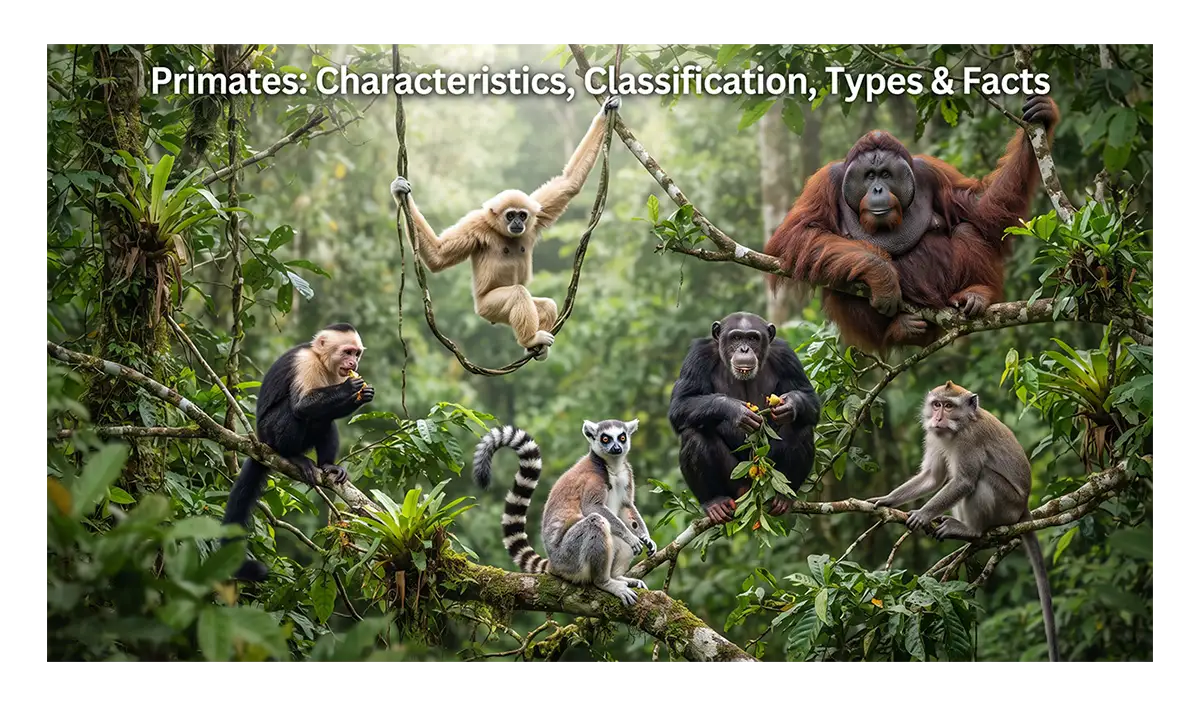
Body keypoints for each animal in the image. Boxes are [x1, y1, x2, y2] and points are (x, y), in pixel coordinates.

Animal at [220, 323, 374, 581]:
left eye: (357, 353)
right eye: (347, 352)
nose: (353, 363)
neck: (321, 361)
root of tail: (259, 441)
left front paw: (363, 394)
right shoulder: (305, 362)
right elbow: (303, 405)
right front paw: (349, 388)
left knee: (325, 420)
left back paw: (327, 466)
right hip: (269, 433)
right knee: (294, 412)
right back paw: (292, 456)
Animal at [389, 96, 621, 361]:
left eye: (522, 215)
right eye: (510, 215)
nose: (518, 223)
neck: (500, 231)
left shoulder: (536, 215)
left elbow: (568, 183)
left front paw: (607, 111)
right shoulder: (476, 226)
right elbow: (438, 256)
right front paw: (399, 192)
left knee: (545, 304)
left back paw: (535, 347)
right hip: (489, 307)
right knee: (518, 293)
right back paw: (531, 339)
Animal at [472, 419, 656, 606]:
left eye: (622, 437)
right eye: (605, 439)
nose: (617, 448)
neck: (612, 467)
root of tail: (554, 564)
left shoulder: (627, 474)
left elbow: (627, 506)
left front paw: (645, 537)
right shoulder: (593, 479)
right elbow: (593, 507)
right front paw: (631, 537)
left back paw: (618, 578)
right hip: (569, 556)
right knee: (596, 522)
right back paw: (605, 582)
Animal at [867, 381, 1059, 663]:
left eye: (949, 406)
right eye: (937, 404)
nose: (937, 418)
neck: (958, 428)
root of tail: (1024, 507)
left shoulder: (970, 440)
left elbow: (964, 482)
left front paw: (922, 514)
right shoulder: (934, 436)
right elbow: (933, 477)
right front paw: (887, 500)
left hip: (1007, 507)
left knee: (981, 479)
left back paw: (971, 531)